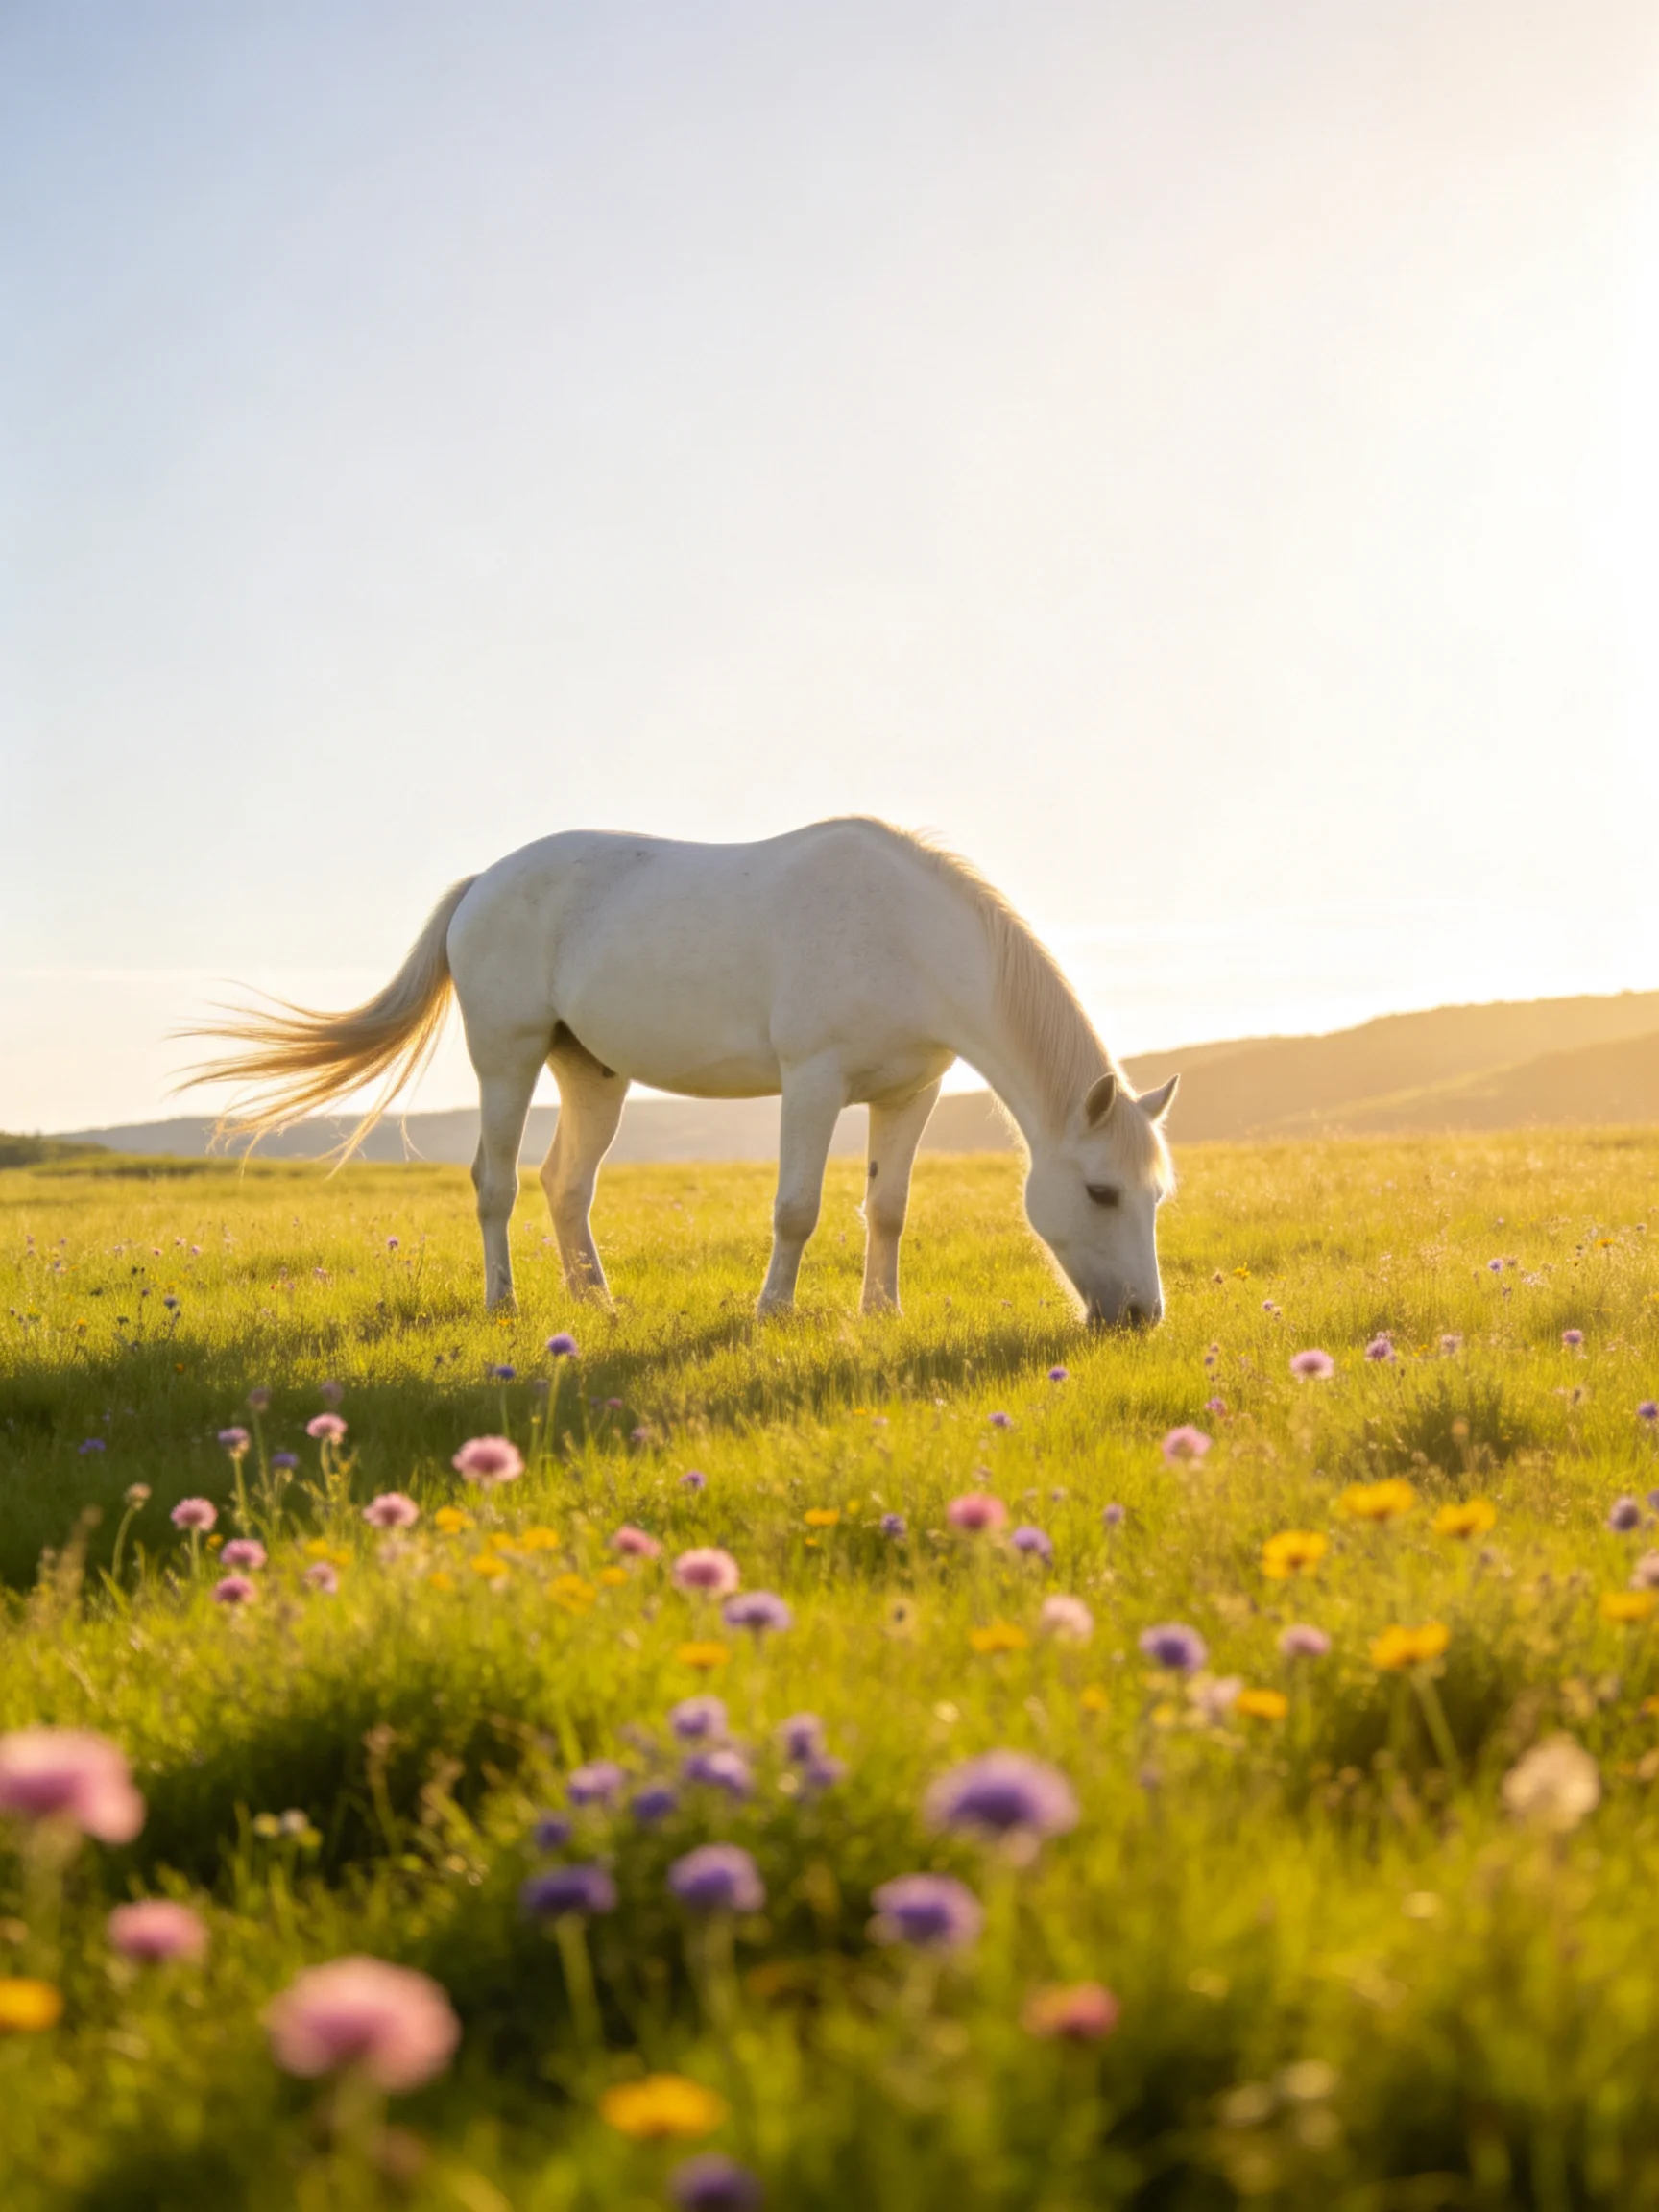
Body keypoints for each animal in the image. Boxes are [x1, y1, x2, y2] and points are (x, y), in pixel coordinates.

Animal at [190, 819, 1178, 1324]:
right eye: (1099, 1192)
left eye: (1155, 1196)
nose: (1142, 1317)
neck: (908, 934)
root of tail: (481, 883)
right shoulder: (812, 1082)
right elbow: (797, 1209)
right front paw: (773, 1313)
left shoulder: (911, 1093)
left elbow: (887, 1209)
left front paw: (881, 1314)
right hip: (507, 1057)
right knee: (495, 1183)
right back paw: (505, 1303)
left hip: (592, 1073)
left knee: (565, 1184)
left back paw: (597, 1301)